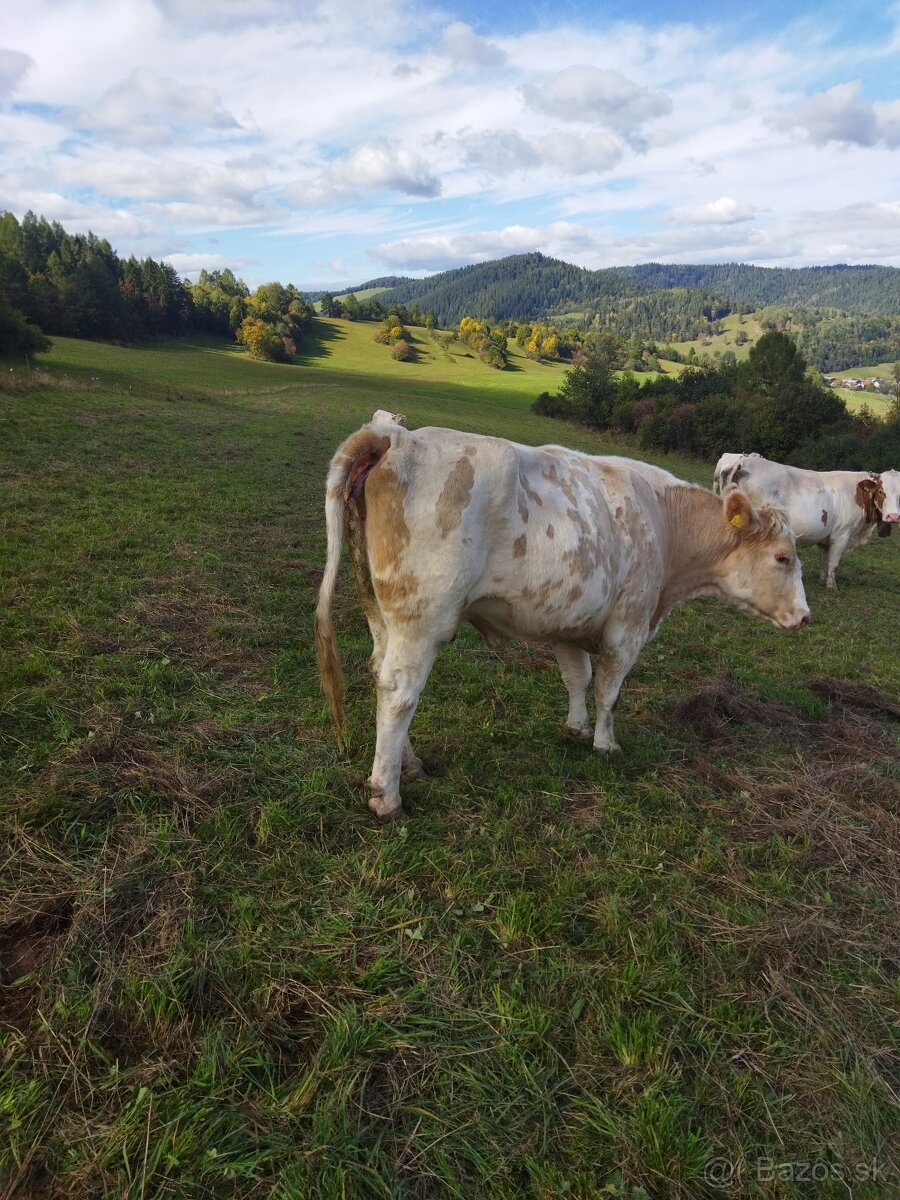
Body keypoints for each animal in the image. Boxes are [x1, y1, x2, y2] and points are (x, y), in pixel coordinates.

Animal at [316, 417, 811, 820]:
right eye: (783, 558)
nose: (805, 616)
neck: (663, 524)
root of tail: (396, 435)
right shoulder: (628, 625)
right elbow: (609, 690)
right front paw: (605, 744)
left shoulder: (568, 621)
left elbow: (578, 677)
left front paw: (576, 729)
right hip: (422, 620)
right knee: (400, 691)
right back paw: (387, 795)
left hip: (380, 612)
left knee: (380, 672)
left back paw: (410, 764)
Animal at [715, 451, 897, 588]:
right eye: (882, 491)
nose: (893, 516)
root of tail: (744, 461)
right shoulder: (842, 535)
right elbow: (834, 564)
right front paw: (832, 586)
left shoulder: (826, 538)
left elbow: (824, 561)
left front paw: (823, 581)